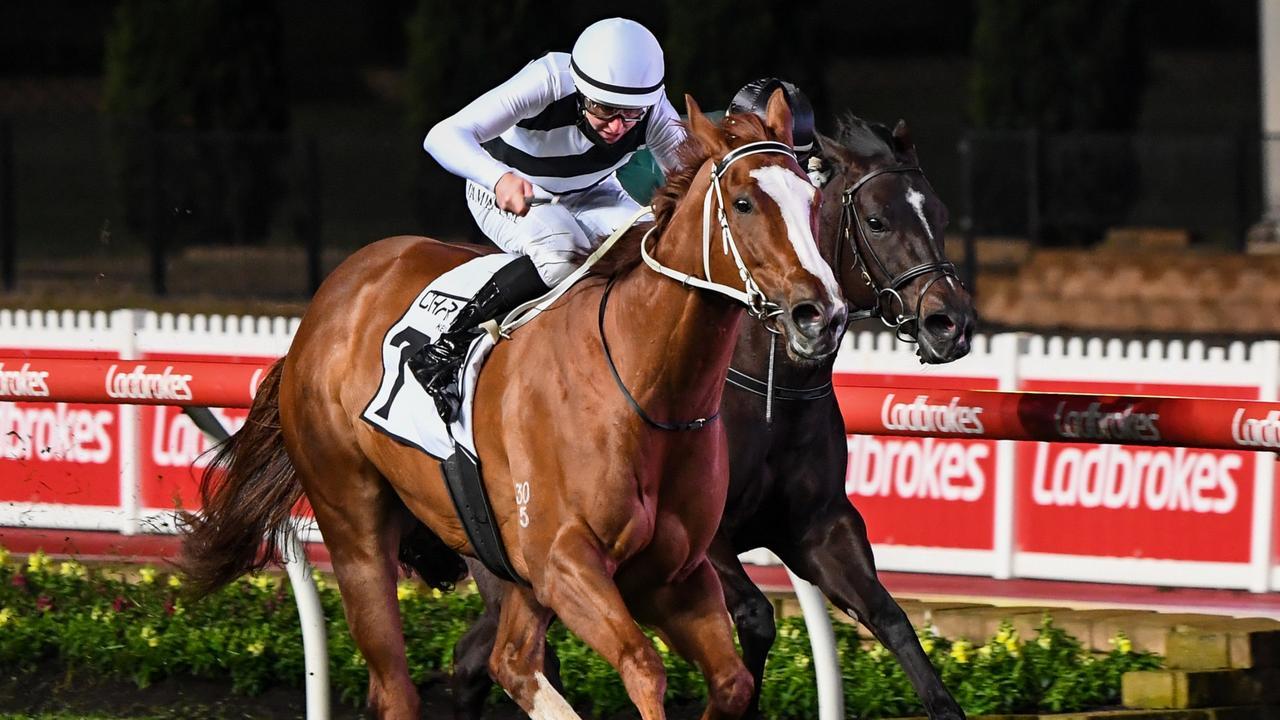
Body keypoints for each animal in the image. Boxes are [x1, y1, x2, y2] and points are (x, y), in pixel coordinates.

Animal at [172, 89, 849, 717]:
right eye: (743, 203)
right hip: (355, 525)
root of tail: (326, 303)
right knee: (397, 687)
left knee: (511, 663)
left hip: (507, 563)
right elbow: (642, 667)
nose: (821, 314)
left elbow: (732, 683)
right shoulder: (566, 564)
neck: (646, 385)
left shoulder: (673, 575)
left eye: (812, 201)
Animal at [455, 114, 972, 712]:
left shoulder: (819, 526)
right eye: (877, 221)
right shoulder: (709, 540)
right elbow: (758, 617)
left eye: (940, 214)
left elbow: (891, 620)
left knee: (477, 655)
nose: (951, 322)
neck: (766, 382)